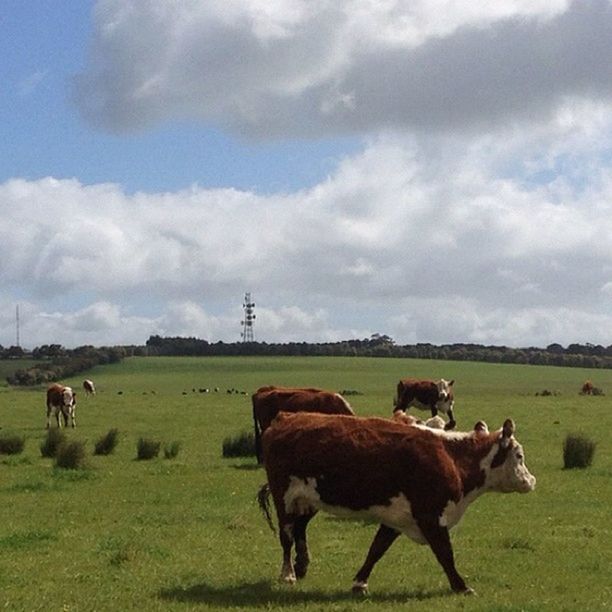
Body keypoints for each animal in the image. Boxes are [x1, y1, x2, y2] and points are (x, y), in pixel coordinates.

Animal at [258, 414, 536, 596]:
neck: (453, 458)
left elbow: (377, 549)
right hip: (284, 497)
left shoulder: (398, 518)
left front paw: (360, 582)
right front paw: (461, 586)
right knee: (287, 535)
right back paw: (288, 573)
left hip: (307, 500)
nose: (532, 480)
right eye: (519, 455)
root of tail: (285, 418)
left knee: (300, 529)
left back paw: (302, 565)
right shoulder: (431, 516)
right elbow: (445, 554)